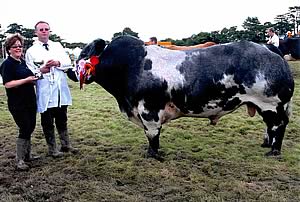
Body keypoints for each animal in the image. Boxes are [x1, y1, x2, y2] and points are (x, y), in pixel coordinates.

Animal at [69, 36, 292, 159]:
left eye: (83, 55)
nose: (71, 72)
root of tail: (269, 49)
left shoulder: (149, 110)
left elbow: (152, 135)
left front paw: (152, 155)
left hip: (272, 104)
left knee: (278, 126)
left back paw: (273, 151)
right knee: (270, 127)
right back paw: (266, 144)